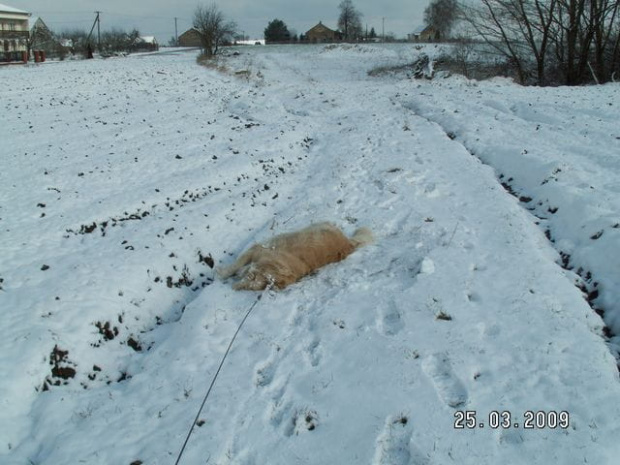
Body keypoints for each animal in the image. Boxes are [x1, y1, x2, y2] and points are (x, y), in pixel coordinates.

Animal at [218, 221, 372, 290]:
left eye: (253, 278)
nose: (243, 276)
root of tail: (348, 243)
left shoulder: (256, 250)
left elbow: (235, 265)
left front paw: (222, 273)